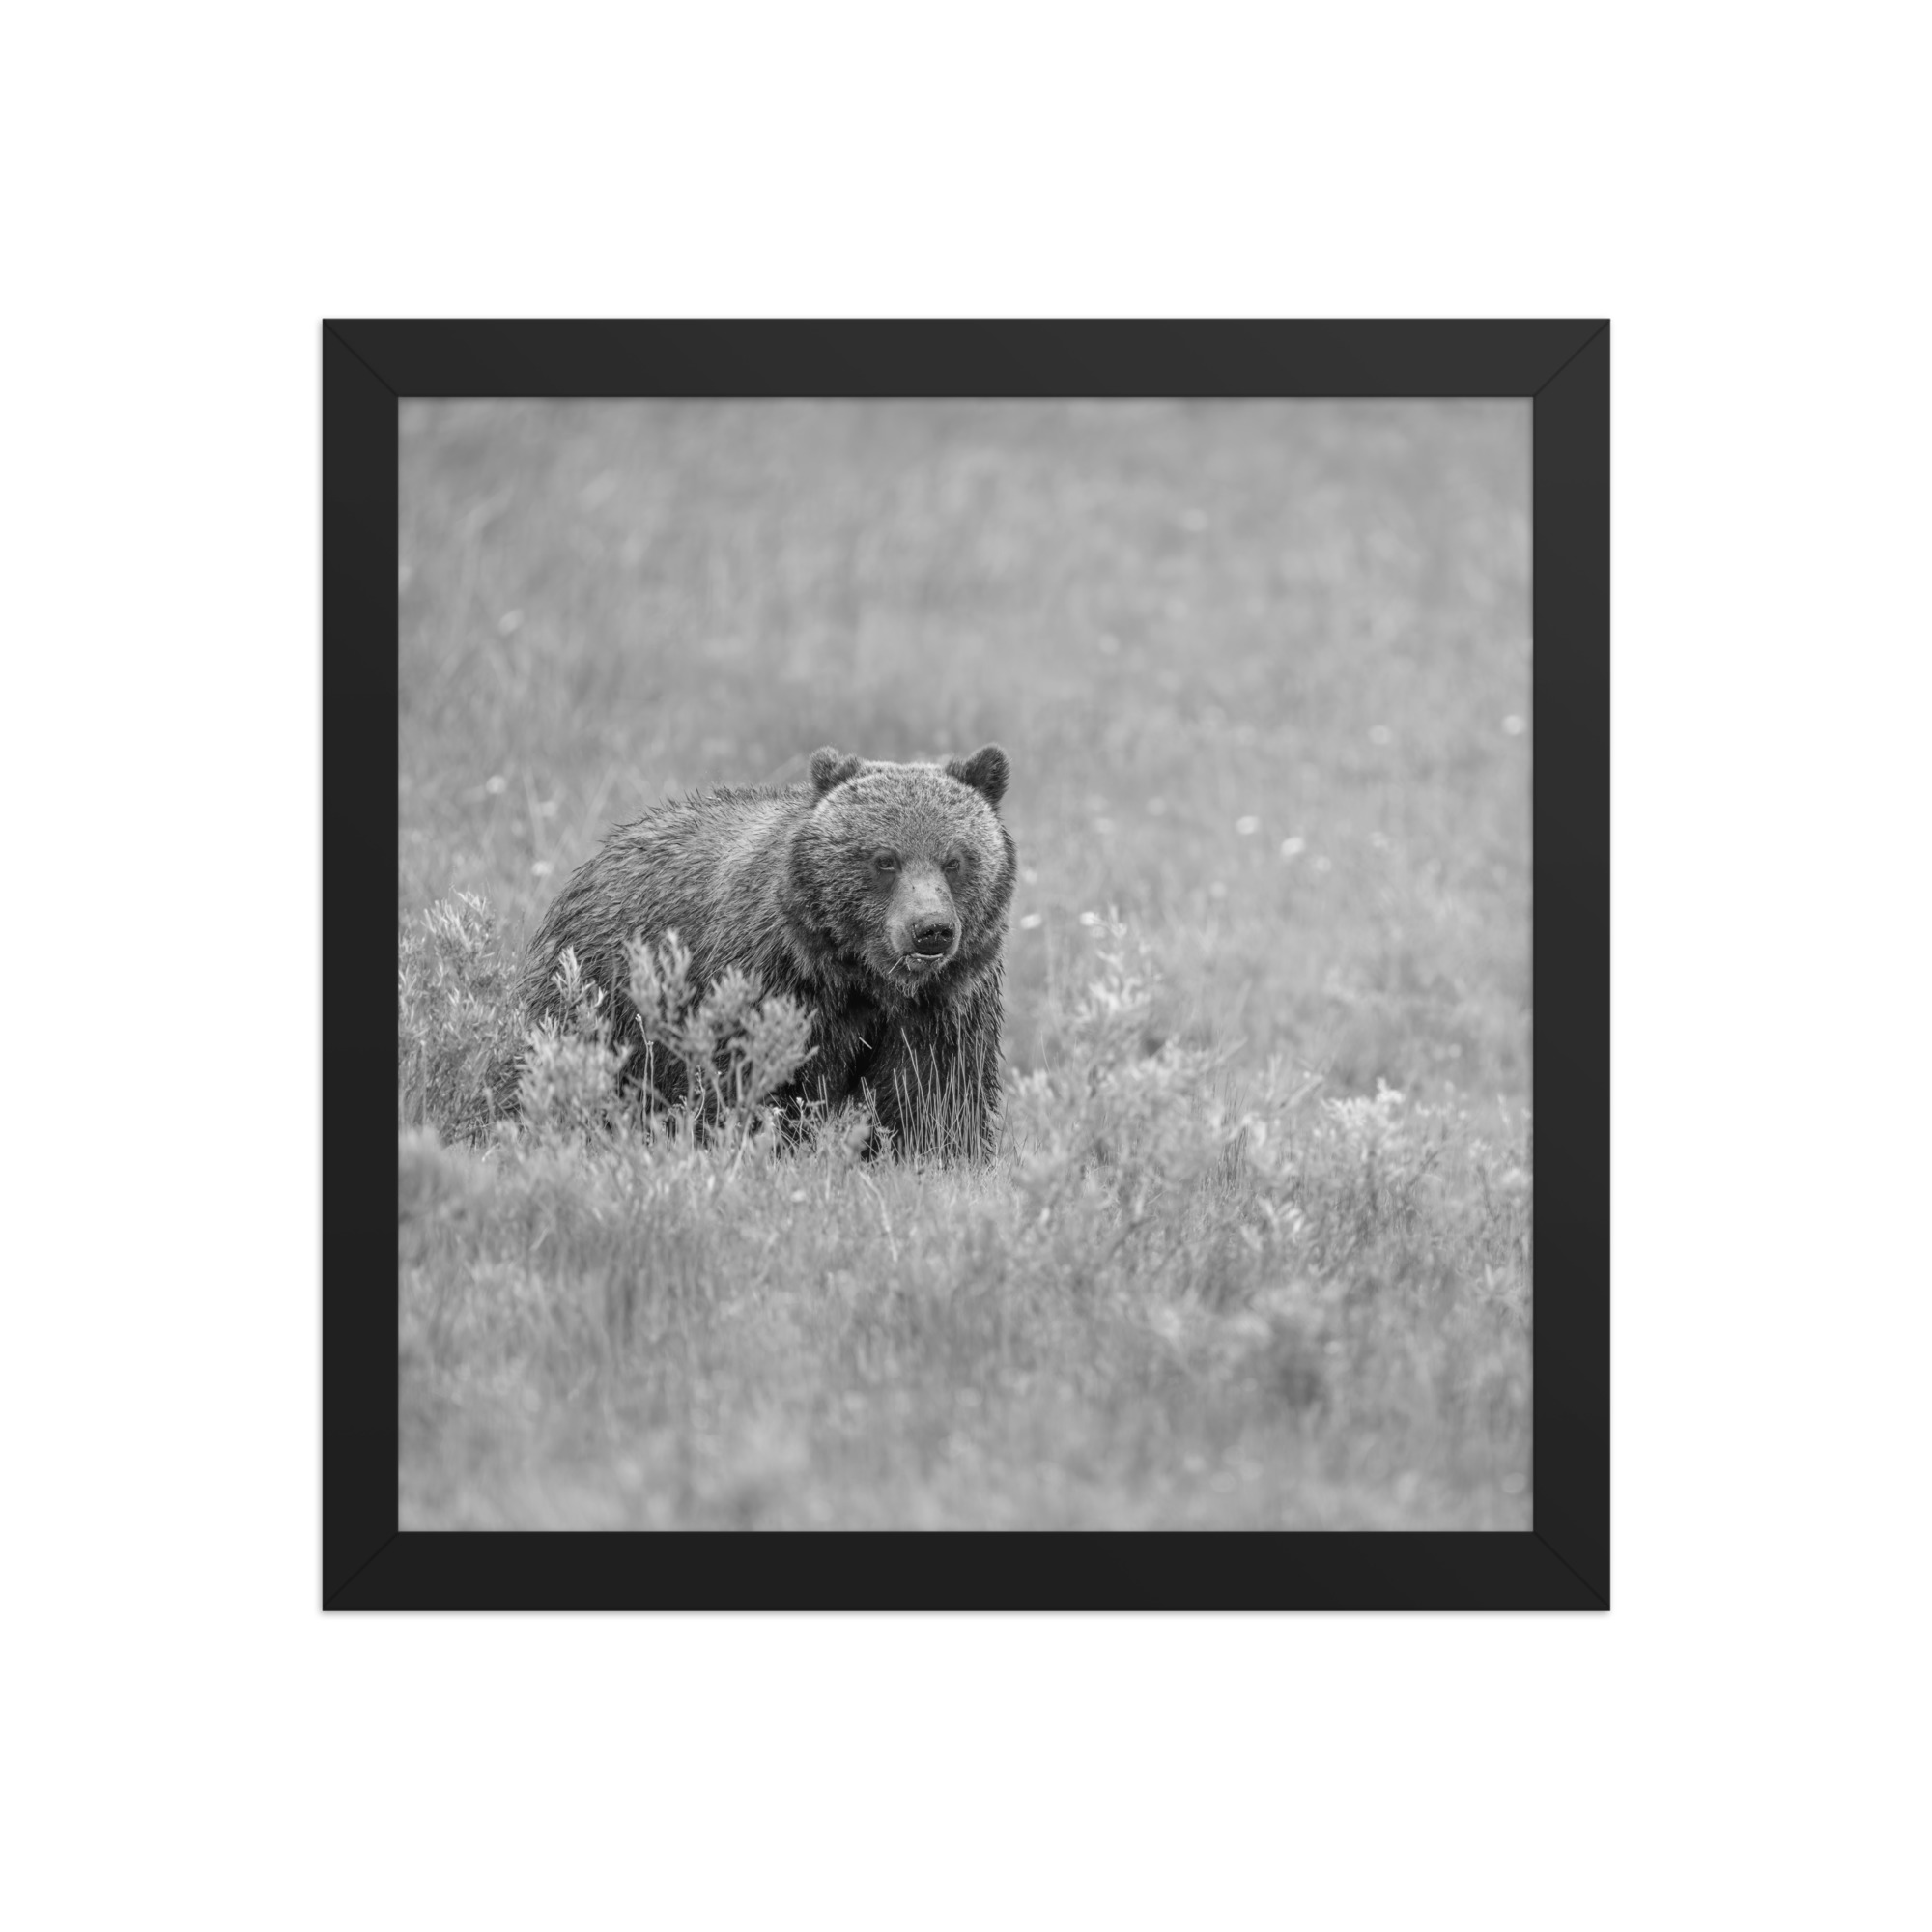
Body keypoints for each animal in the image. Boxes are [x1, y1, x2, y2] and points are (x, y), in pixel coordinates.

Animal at [517, 744, 1016, 1157]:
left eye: (954, 860)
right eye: (884, 859)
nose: (930, 930)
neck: (863, 977)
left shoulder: (944, 1005)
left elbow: (935, 1096)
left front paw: (936, 1156)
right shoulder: (773, 980)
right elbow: (755, 1080)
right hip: (601, 990)